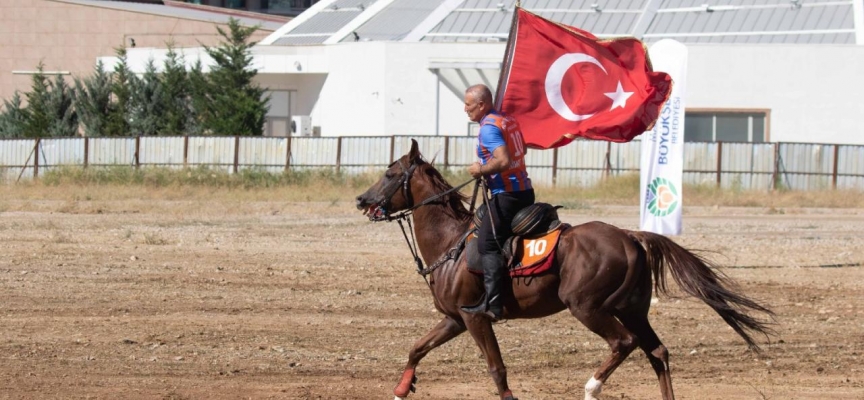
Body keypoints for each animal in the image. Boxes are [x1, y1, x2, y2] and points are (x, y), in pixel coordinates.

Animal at [354, 140, 772, 400]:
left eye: (390, 174)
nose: (361, 199)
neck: (451, 243)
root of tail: (631, 237)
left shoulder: (476, 319)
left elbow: (497, 369)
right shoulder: (455, 319)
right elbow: (416, 349)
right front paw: (401, 389)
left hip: (588, 307)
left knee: (624, 343)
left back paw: (591, 387)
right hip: (632, 309)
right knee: (657, 351)